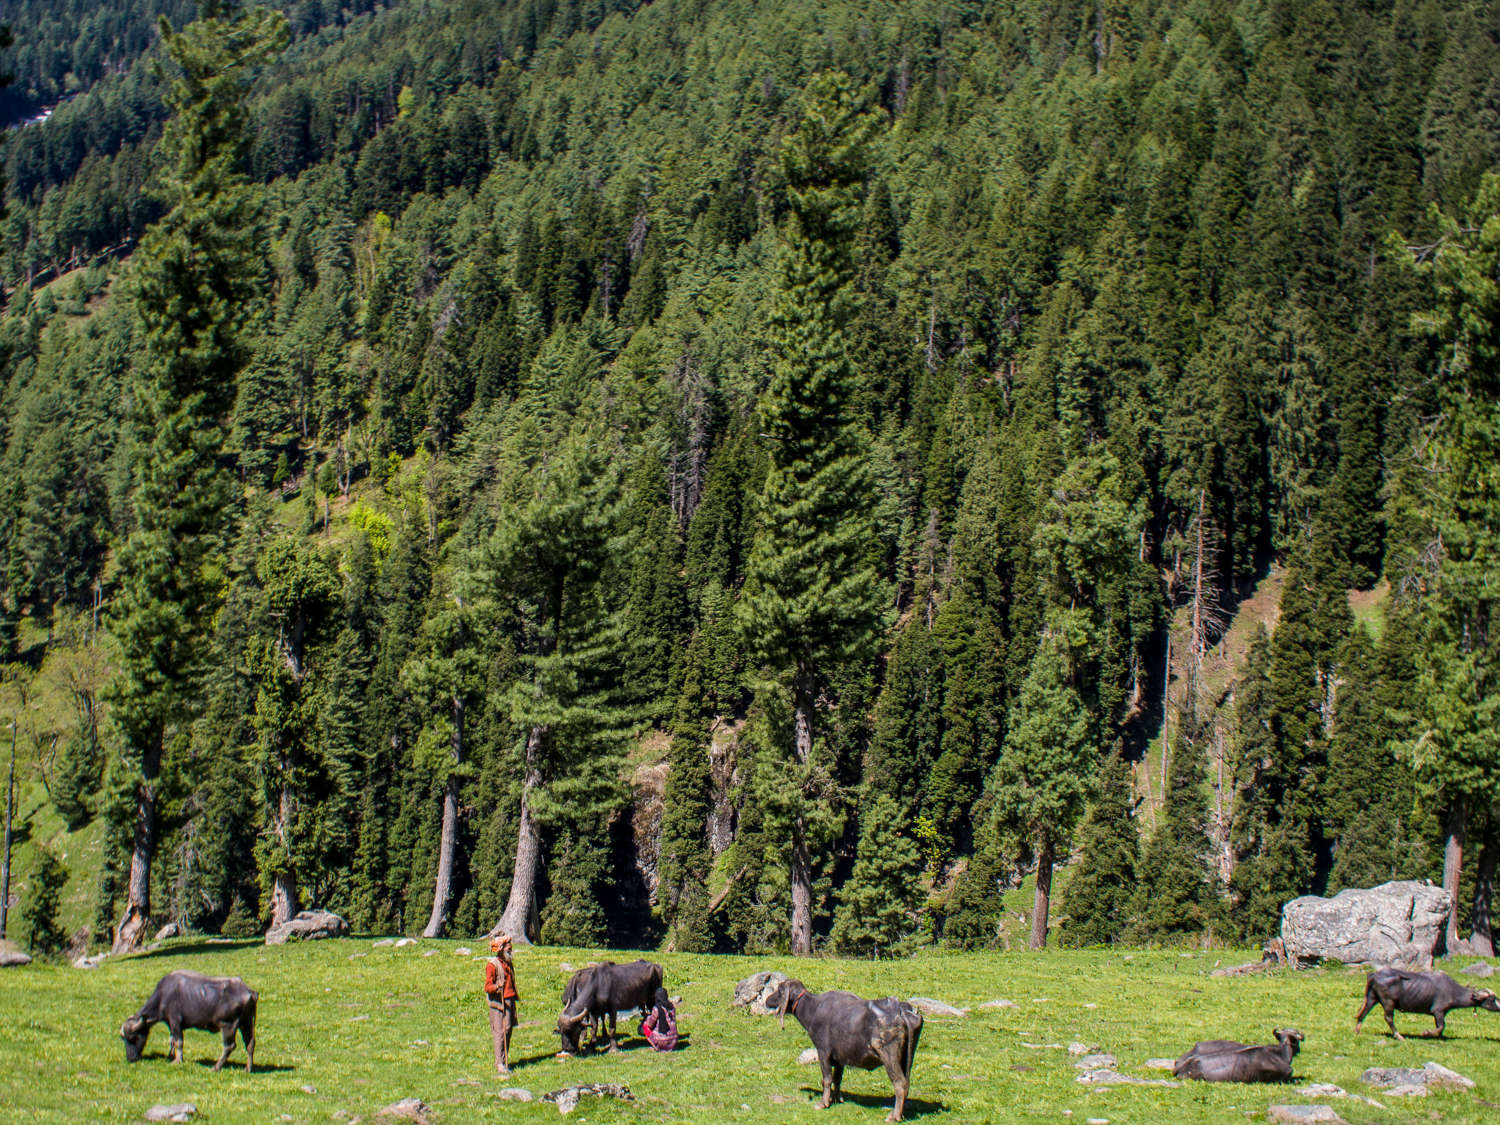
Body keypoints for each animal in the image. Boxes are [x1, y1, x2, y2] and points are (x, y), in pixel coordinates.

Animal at [120, 972, 258, 1074]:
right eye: (124, 1039)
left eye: (133, 1037)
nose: (130, 1058)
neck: (162, 997)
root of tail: (250, 992)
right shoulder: (171, 1025)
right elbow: (172, 1040)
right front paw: (170, 1057)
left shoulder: (175, 1022)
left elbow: (178, 1042)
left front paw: (177, 1060)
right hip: (246, 1023)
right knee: (250, 1043)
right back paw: (248, 1068)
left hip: (228, 1026)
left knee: (229, 1046)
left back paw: (215, 1067)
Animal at [774, 978, 924, 1125]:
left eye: (779, 990)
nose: (769, 1000)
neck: (813, 1009)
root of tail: (902, 1012)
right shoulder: (840, 1058)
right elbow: (837, 1078)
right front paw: (836, 1099)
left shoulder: (823, 1052)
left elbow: (827, 1079)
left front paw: (823, 1103)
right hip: (907, 1057)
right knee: (906, 1084)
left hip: (889, 1057)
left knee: (900, 1083)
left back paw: (893, 1116)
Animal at [1356, 972, 1494, 1038]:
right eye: (1492, 999)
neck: (1454, 991)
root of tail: (1374, 975)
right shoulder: (1438, 1011)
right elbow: (1441, 1026)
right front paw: (1427, 1033)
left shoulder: (1439, 1013)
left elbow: (1440, 1026)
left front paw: (1439, 1037)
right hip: (1388, 1001)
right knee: (1388, 1018)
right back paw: (1399, 1036)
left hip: (1372, 997)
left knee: (1363, 1013)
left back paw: (1358, 1032)